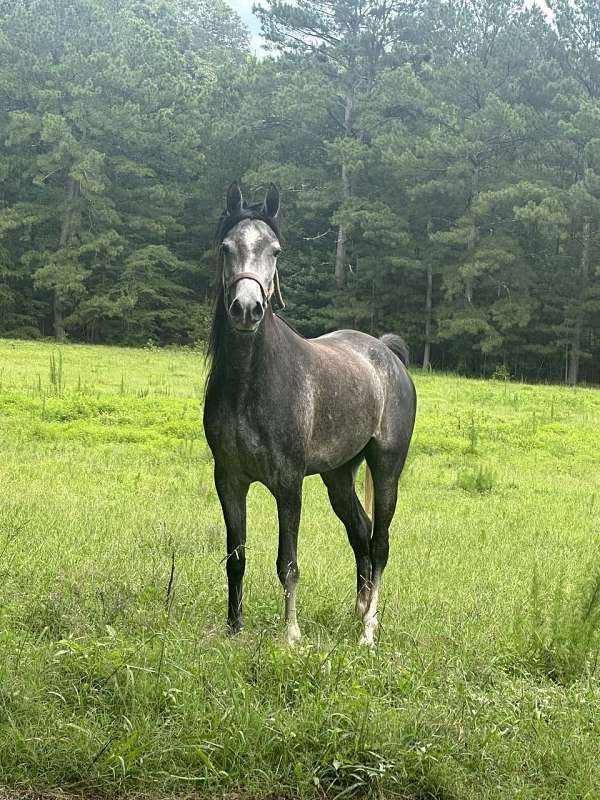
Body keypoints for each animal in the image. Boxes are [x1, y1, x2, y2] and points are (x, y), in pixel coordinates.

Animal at [203, 182, 416, 645]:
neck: (252, 382)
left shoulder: (289, 484)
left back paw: (368, 630)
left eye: (275, 250)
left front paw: (291, 636)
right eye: (226, 247)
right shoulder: (229, 480)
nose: (247, 309)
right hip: (338, 475)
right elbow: (236, 557)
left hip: (386, 469)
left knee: (380, 543)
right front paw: (233, 630)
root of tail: (386, 353)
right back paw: (358, 612)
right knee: (360, 532)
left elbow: (288, 563)